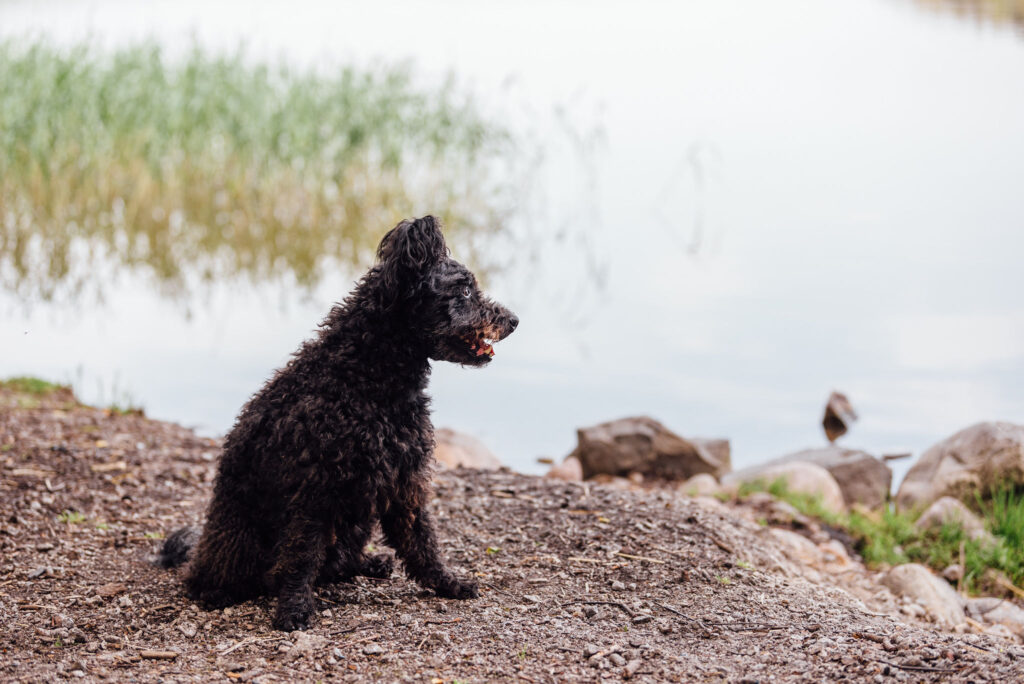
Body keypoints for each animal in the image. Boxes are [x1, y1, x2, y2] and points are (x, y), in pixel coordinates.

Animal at [159, 216, 520, 626]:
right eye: (464, 292)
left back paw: (369, 563)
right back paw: (218, 589)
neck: (364, 377)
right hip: (243, 539)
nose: (514, 320)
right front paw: (294, 609)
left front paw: (447, 583)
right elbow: (302, 557)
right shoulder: (315, 490)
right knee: (238, 574)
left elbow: (422, 542)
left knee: (335, 563)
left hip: (356, 519)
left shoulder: (405, 482)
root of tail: (200, 555)